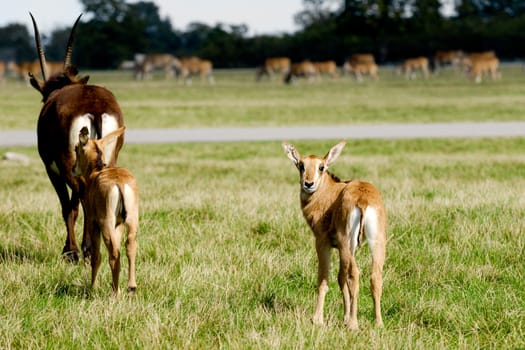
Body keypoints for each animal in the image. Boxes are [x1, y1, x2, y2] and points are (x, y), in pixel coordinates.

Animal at [29, 14, 125, 262]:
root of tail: (95, 108)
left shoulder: (52, 168)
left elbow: (68, 206)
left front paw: (70, 250)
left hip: (67, 164)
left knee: (80, 198)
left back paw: (82, 250)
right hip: (108, 160)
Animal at [74, 126, 139, 296]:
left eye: (76, 148)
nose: (73, 168)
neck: (96, 171)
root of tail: (119, 183)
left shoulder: (92, 222)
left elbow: (96, 255)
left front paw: (93, 287)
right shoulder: (119, 224)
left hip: (106, 222)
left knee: (114, 253)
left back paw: (115, 292)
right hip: (132, 220)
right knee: (130, 246)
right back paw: (131, 286)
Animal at [282, 141, 384, 330]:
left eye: (321, 167)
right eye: (301, 165)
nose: (308, 184)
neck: (329, 192)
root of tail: (363, 199)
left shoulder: (322, 243)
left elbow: (324, 279)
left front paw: (317, 319)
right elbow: (340, 278)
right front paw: (344, 317)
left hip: (346, 243)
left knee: (355, 274)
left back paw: (353, 324)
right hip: (375, 242)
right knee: (375, 276)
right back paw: (378, 322)